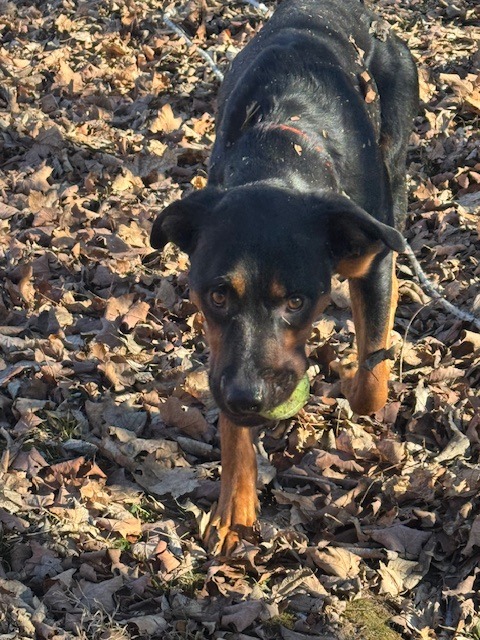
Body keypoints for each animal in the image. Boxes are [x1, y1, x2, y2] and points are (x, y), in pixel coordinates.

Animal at [150, 0, 418, 554]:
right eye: (217, 296)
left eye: (297, 301)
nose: (247, 396)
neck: (281, 156)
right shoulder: (225, 355)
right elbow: (232, 427)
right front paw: (234, 508)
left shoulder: (370, 259)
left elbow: (369, 378)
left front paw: (355, 385)